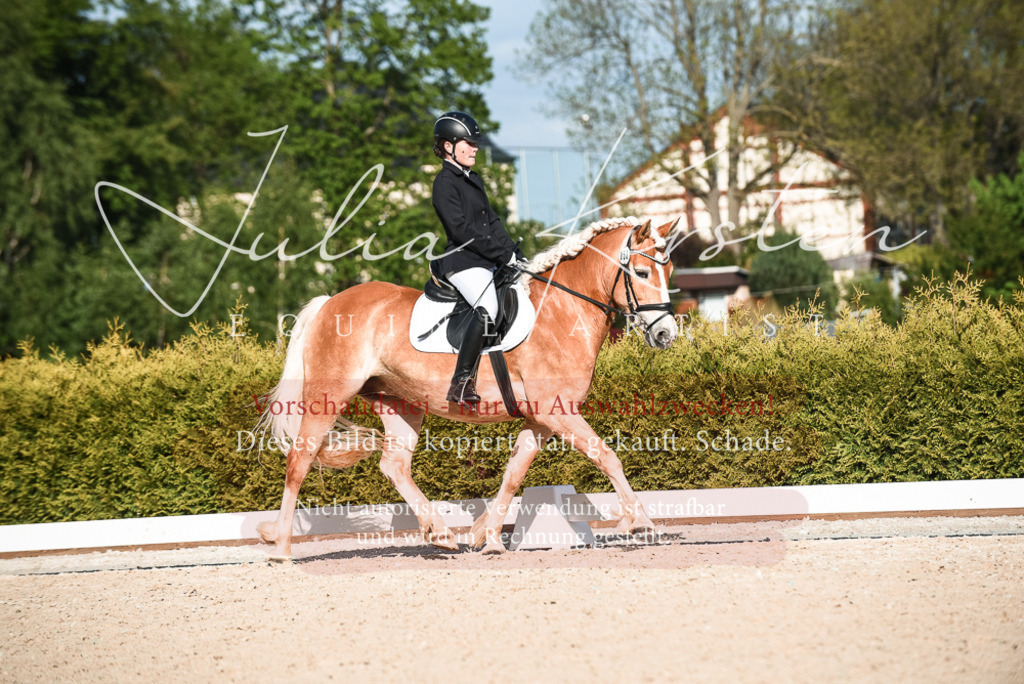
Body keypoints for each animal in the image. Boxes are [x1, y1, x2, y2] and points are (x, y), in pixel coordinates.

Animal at [255, 215, 681, 559]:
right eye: (642, 273)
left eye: (671, 271)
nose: (666, 335)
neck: (562, 311)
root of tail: (329, 303)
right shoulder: (556, 409)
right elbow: (607, 456)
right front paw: (640, 522)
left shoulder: (543, 418)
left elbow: (514, 473)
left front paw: (486, 536)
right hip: (328, 397)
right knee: (299, 461)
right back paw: (281, 547)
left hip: (400, 402)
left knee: (394, 465)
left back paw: (441, 533)